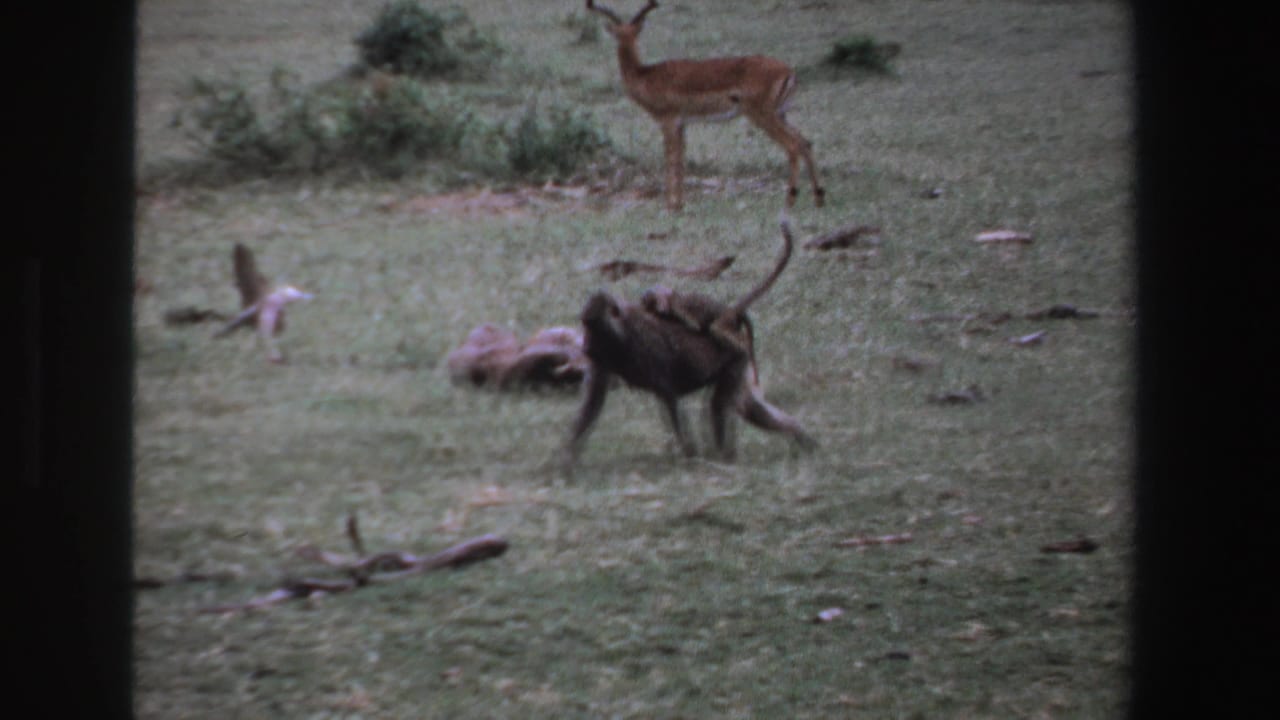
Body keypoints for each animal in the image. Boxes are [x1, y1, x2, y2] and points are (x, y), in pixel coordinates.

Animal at [562, 217, 813, 472]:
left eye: (592, 326)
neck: (620, 333)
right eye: (585, 324)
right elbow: (593, 404)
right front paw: (566, 461)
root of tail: (730, 316)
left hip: (735, 355)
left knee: (719, 406)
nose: (585, 346)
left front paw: (691, 456)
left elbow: (669, 396)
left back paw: (724, 458)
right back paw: (798, 435)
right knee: (747, 407)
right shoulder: (603, 356)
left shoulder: (646, 348)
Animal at [585, 0, 825, 211]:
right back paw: (818, 198)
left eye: (628, 33)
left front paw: (670, 206)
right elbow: (681, 160)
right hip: (781, 113)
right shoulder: (682, 124)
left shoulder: (668, 121)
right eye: (621, 33)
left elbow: (670, 159)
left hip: (762, 115)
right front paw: (679, 204)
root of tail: (788, 71)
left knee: (793, 146)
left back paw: (790, 201)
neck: (645, 75)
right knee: (805, 142)